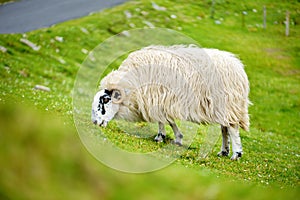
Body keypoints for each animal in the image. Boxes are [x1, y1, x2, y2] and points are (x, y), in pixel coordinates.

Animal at [91, 44, 251, 160]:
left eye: (105, 100)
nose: (95, 122)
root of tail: (238, 67)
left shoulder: (155, 98)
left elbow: (162, 121)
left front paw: (160, 137)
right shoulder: (161, 100)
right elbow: (168, 121)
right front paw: (177, 138)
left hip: (228, 104)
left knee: (232, 128)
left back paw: (236, 154)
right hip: (222, 107)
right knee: (224, 128)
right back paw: (224, 151)